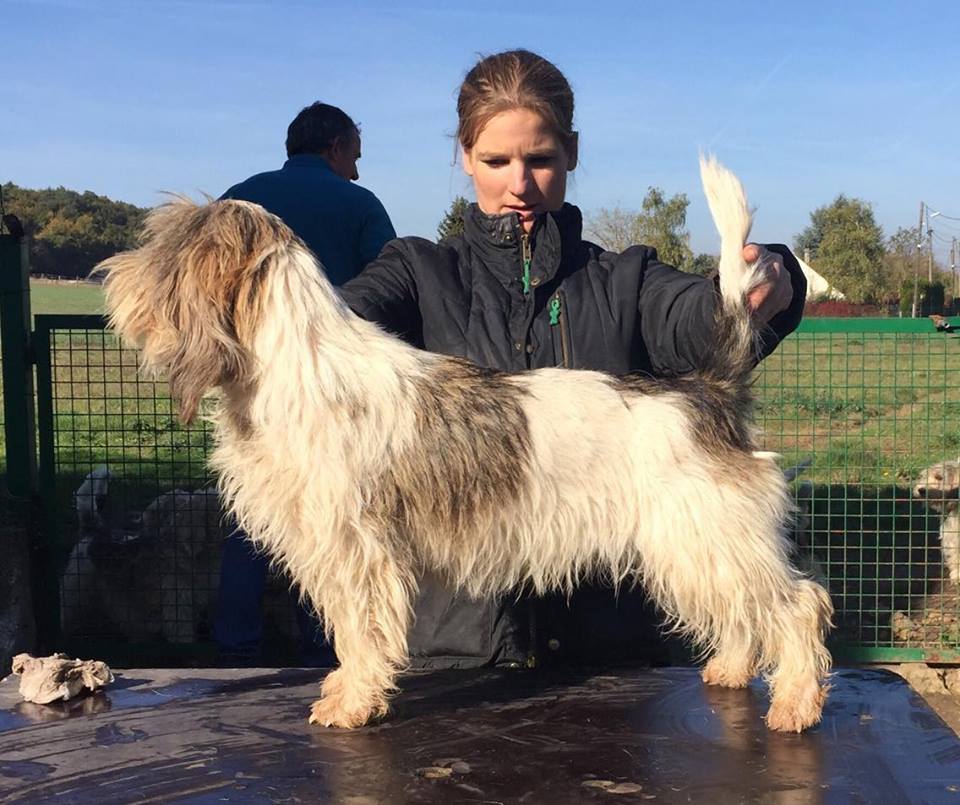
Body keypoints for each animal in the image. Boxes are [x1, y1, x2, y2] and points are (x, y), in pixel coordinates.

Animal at [97, 156, 833, 732]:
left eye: (161, 247)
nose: (108, 275)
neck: (298, 362)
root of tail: (709, 387)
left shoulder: (357, 548)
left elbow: (361, 628)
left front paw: (353, 704)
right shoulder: (339, 547)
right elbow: (350, 629)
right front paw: (345, 689)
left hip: (708, 535)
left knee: (797, 606)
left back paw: (795, 704)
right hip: (697, 546)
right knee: (744, 615)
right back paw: (730, 671)